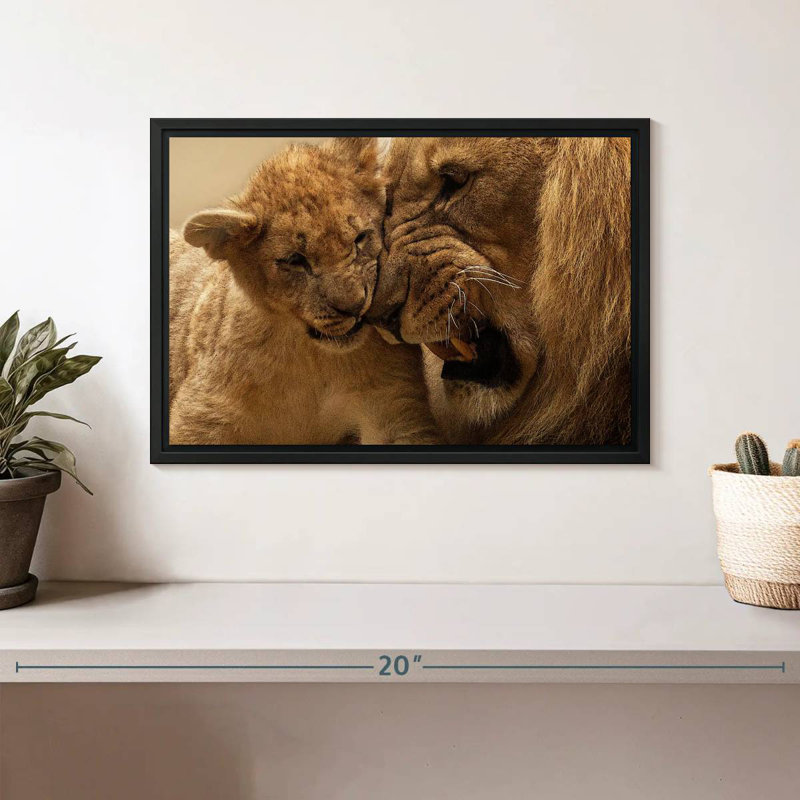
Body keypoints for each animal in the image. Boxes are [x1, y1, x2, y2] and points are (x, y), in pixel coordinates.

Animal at [169, 137, 439, 445]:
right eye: (295, 260)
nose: (355, 306)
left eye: (360, 238)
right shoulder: (204, 415)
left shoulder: (392, 405)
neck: (312, 357)